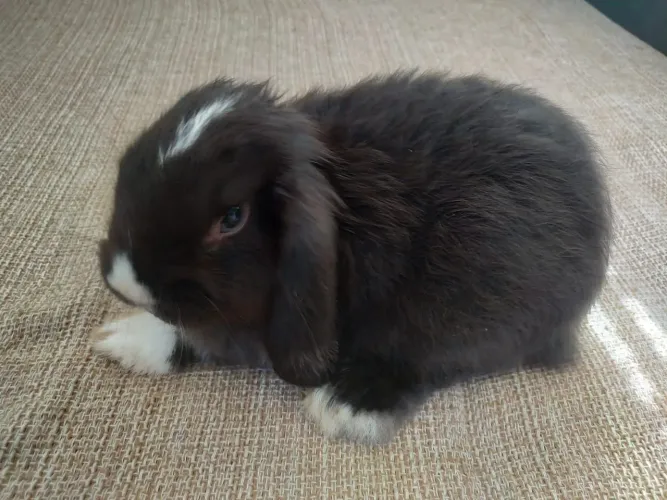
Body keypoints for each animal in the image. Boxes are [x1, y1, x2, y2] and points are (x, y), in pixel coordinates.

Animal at [92, 70, 611, 445]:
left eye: (233, 217)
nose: (123, 282)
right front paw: (122, 338)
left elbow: (205, 337)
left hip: (466, 313)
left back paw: (348, 405)